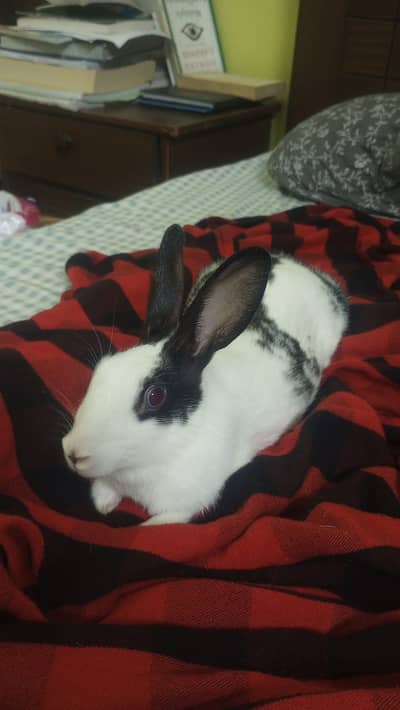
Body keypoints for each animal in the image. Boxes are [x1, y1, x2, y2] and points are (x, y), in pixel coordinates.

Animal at [62, 224, 348, 526]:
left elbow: (156, 526)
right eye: (102, 369)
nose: (73, 453)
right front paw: (104, 505)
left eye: (155, 396)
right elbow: (102, 490)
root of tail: (306, 270)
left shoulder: (183, 507)